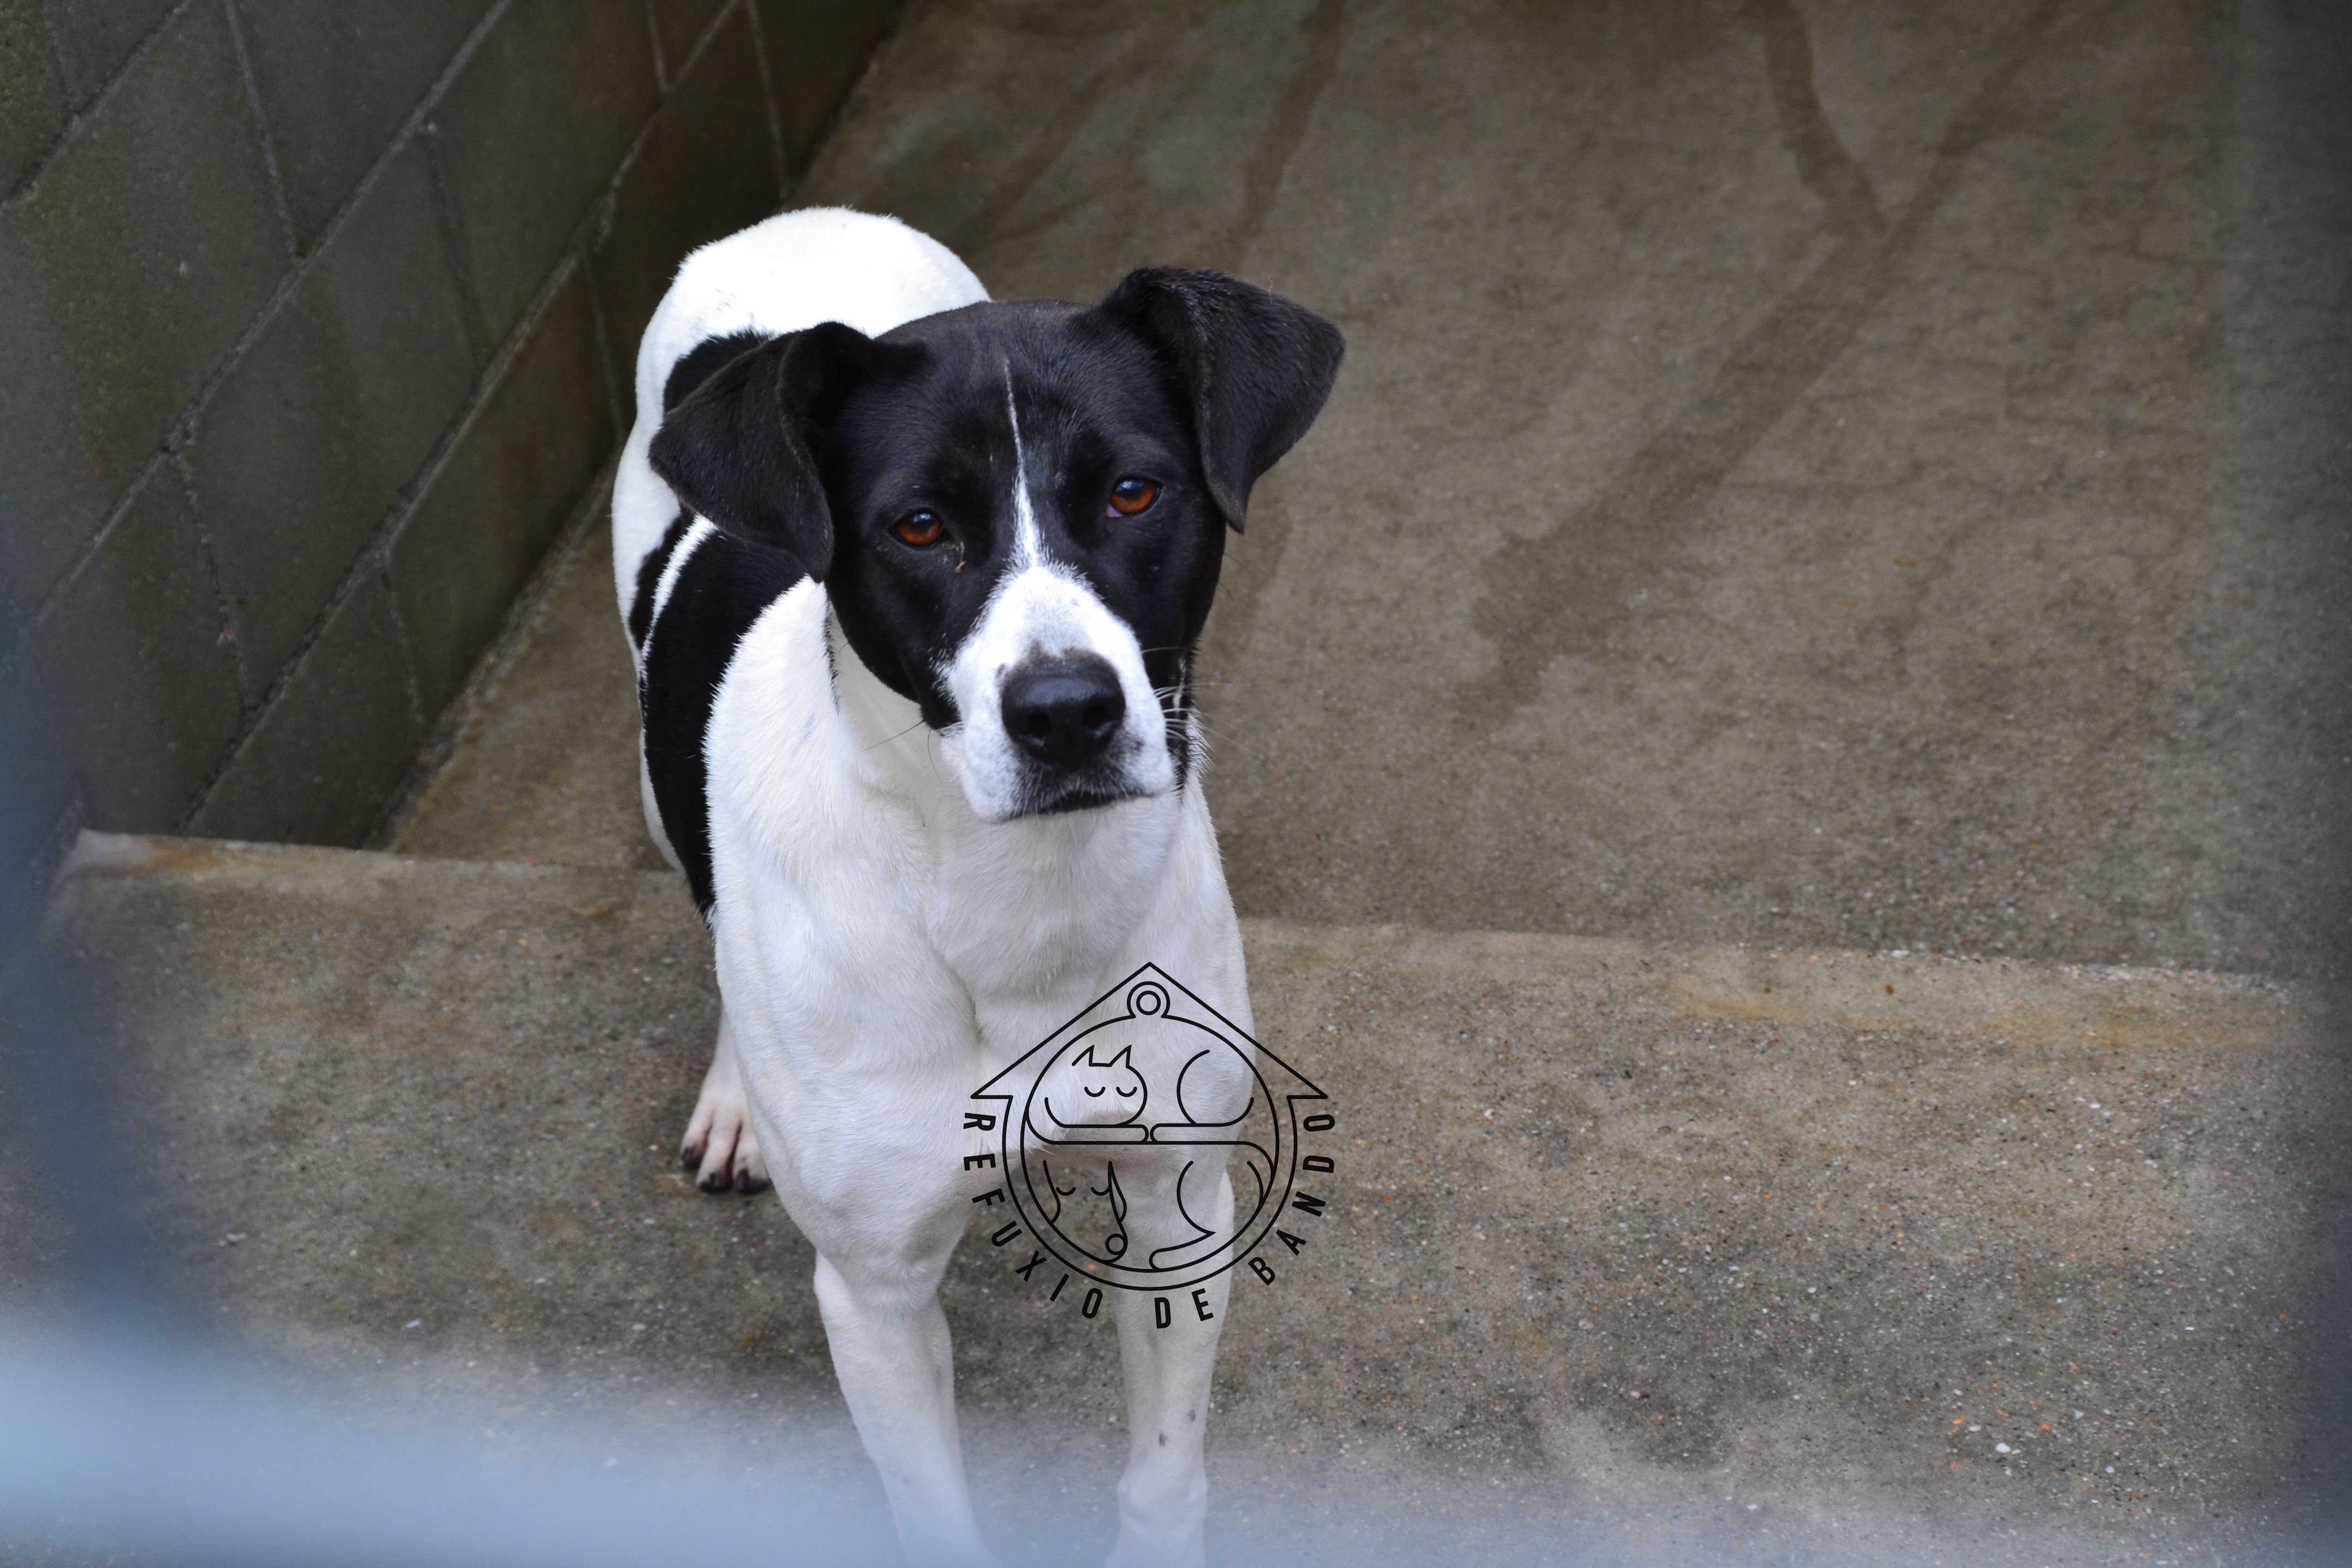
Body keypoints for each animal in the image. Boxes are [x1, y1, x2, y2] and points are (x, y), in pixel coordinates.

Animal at [611, 207, 1342, 1566]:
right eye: (915, 526)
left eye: (1131, 489)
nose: (1064, 713)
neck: (1010, 906)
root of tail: (792, 220)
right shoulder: (874, 1291)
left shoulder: (1177, 1199)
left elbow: (1164, 1468)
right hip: (653, 775)